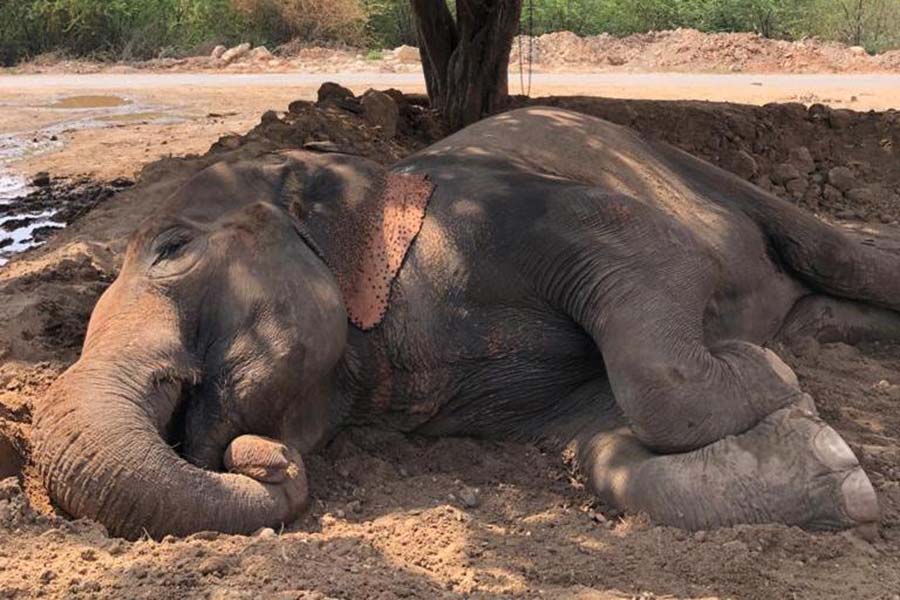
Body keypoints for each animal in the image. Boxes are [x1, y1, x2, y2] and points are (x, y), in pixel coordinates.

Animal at [32, 107, 899, 540]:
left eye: (172, 250)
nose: (265, 460)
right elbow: (603, 451)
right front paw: (831, 467)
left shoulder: (498, 208)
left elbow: (656, 257)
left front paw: (772, 377)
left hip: (694, 167)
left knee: (832, 250)